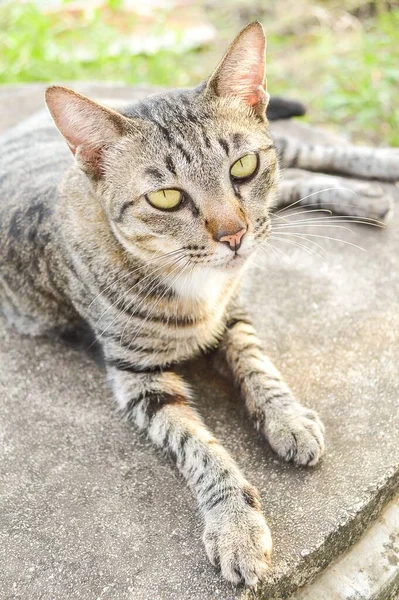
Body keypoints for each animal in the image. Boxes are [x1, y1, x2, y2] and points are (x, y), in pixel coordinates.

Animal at [0, 23, 396, 584]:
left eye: (244, 167)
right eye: (166, 198)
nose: (233, 235)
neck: (194, 282)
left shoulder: (234, 313)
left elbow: (258, 365)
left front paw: (287, 416)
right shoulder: (139, 379)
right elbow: (199, 449)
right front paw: (236, 523)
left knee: (296, 157)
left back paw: (379, 172)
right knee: (292, 183)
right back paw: (365, 197)